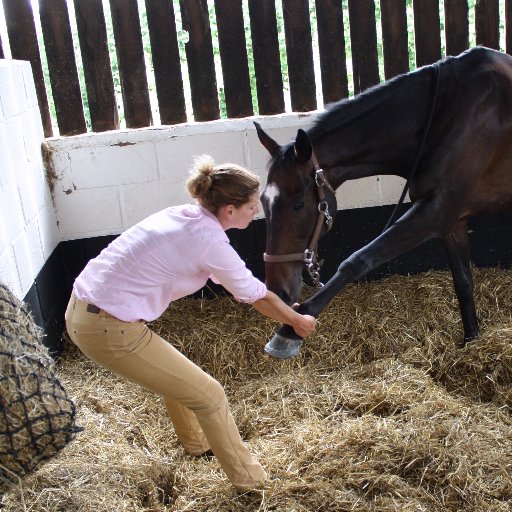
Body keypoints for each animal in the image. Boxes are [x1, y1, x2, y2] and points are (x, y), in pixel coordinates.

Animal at [258, 47, 512, 356]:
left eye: (298, 205)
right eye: (263, 201)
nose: (278, 291)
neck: (449, 114)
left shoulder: (436, 212)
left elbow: (357, 260)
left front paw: (292, 328)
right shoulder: (452, 221)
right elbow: (463, 282)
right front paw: (471, 340)